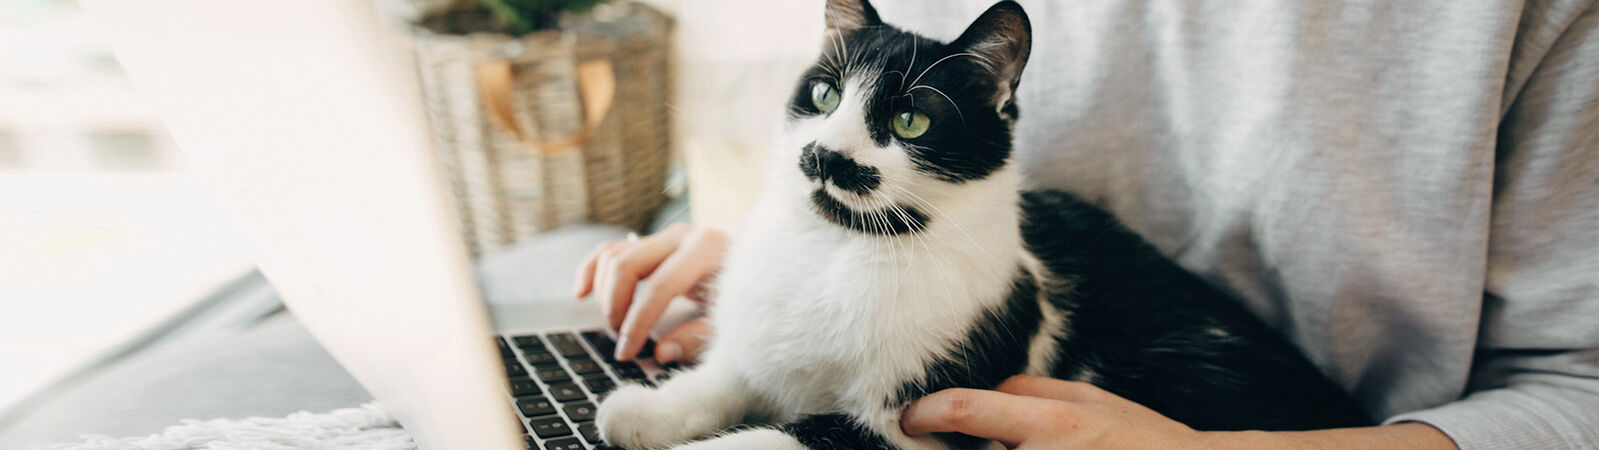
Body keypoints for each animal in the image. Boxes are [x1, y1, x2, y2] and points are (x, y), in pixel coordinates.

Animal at [594, 1, 1368, 445]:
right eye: (823, 95)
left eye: (910, 120)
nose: (823, 155)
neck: (837, 250)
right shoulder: (764, 350)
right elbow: (726, 376)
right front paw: (639, 412)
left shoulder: (917, 418)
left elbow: (784, 437)